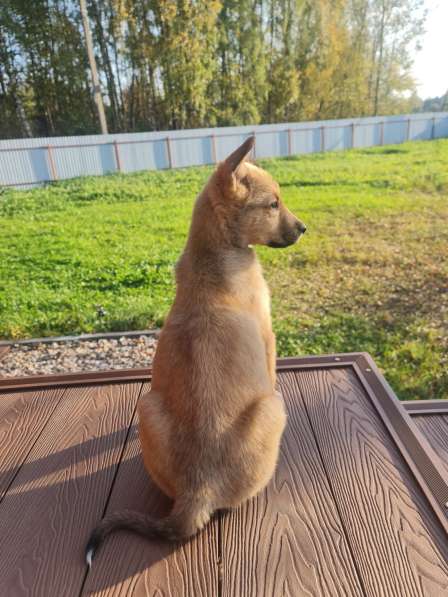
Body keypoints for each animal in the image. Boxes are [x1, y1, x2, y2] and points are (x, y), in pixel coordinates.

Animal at [86, 135, 306, 564]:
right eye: (273, 204)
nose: (304, 228)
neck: (215, 254)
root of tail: (198, 491)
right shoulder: (269, 337)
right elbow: (272, 370)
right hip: (272, 408)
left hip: (148, 406)